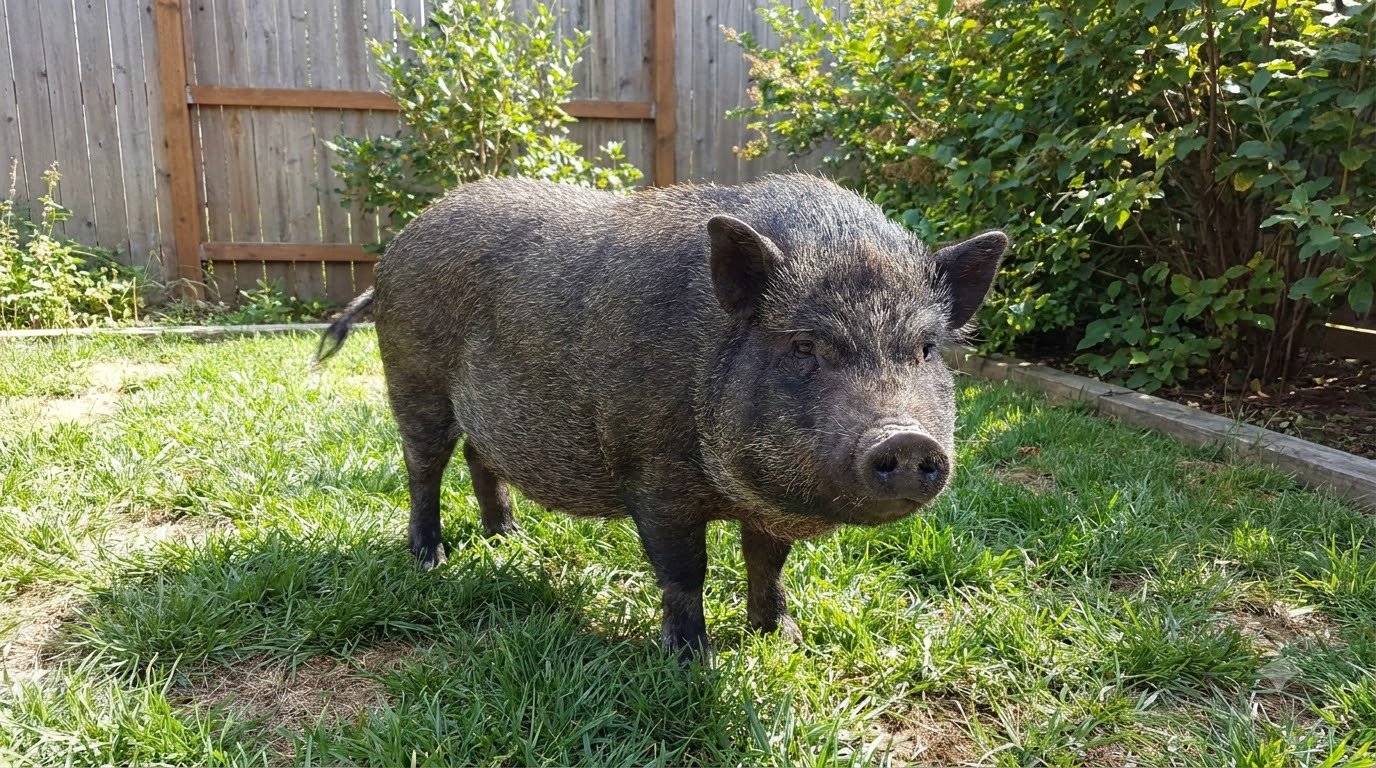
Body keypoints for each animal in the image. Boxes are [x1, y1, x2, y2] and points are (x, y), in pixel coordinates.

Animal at [317, 173, 1007, 659]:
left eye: (925, 349)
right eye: (804, 345)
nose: (908, 438)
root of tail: (394, 251)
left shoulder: (770, 504)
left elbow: (767, 565)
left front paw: (786, 641)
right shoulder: (651, 476)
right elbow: (684, 571)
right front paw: (691, 662)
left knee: (479, 457)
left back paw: (507, 539)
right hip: (411, 377)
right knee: (423, 468)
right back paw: (430, 559)